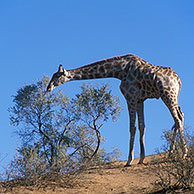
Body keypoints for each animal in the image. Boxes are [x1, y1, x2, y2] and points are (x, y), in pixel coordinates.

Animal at [46, 53, 187, 166]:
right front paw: (141, 159)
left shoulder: (130, 97)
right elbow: (142, 126)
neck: (119, 71)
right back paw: (170, 153)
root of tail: (178, 80)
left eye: (57, 76)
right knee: (180, 116)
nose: (48, 88)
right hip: (173, 97)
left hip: (167, 95)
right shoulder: (140, 99)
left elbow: (132, 127)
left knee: (177, 119)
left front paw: (129, 161)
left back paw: (184, 153)